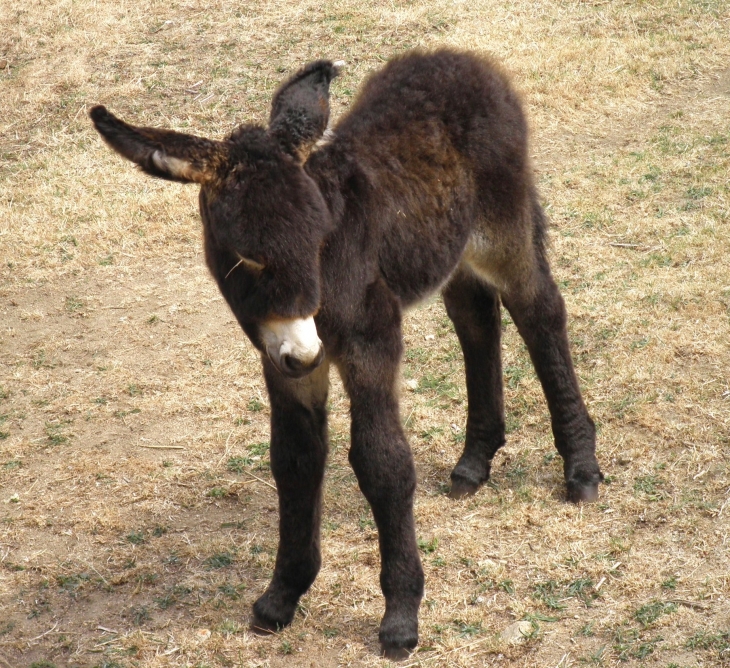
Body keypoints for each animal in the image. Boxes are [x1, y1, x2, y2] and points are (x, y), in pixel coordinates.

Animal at [91, 51, 600, 656]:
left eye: (318, 240)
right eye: (245, 258)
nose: (306, 350)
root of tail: (463, 59)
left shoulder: (369, 344)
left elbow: (382, 462)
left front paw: (401, 617)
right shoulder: (282, 366)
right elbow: (294, 460)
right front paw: (282, 596)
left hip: (503, 228)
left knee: (540, 312)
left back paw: (581, 467)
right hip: (449, 249)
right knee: (476, 320)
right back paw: (475, 462)